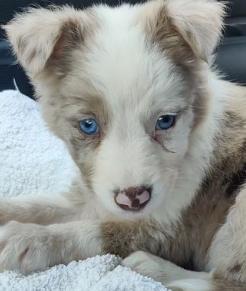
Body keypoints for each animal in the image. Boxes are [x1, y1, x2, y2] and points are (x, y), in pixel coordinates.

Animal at [1, 0, 246, 290]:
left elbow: (97, 231)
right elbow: (36, 205)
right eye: (88, 125)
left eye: (165, 121)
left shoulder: (170, 229)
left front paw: (29, 238)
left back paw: (154, 267)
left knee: (225, 281)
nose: (133, 198)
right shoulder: (90, 192)